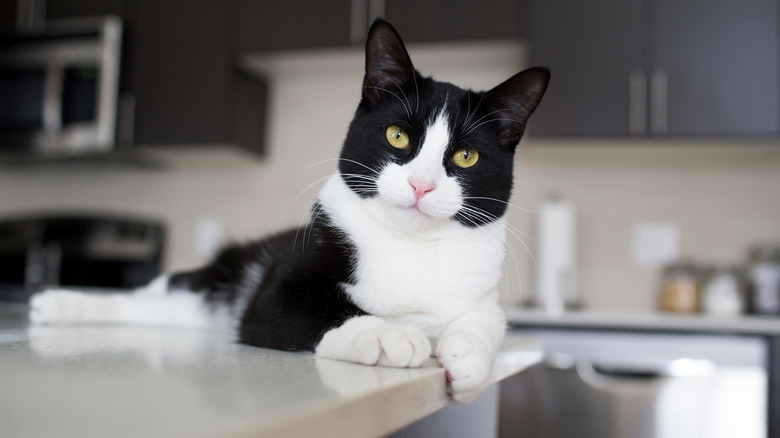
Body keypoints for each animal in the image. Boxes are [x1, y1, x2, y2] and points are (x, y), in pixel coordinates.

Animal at [29, 20, 548, 404]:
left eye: (466, 157)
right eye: (398, 135)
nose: (421, 185)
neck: (409, 245)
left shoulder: (480, 293)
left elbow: (489, 320)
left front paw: (468, 361)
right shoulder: (272, 296)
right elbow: (315, 310)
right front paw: (385, 335)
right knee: (150, 295)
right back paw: (58, 304)